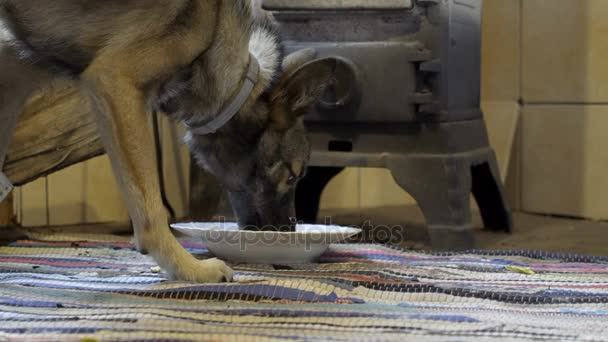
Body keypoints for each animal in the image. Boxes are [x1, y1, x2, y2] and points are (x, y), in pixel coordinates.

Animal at [0, 0, 342, 282]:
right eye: (292, 176)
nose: (290, 232)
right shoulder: (116, 81)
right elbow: (151, 209)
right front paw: (189, 269)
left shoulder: (14, 72)